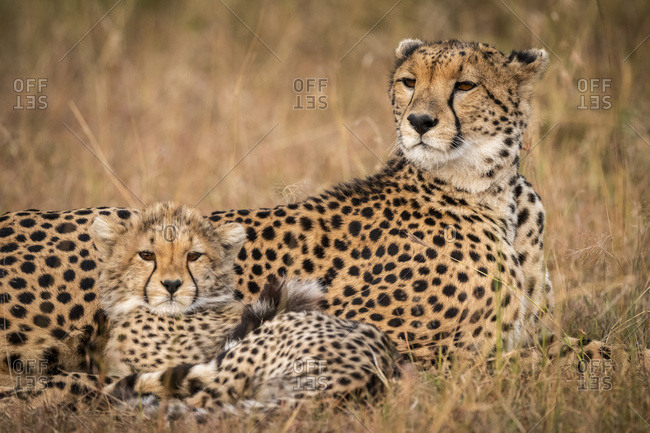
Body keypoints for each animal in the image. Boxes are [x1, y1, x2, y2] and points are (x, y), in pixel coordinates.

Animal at [1, 39, 643, 380]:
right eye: (408, 82)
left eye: (465, 86)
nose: (420, 121)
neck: (493, 189)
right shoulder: (397, 346)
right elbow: (555, 361)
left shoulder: (525, 334)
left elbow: (598, 348)